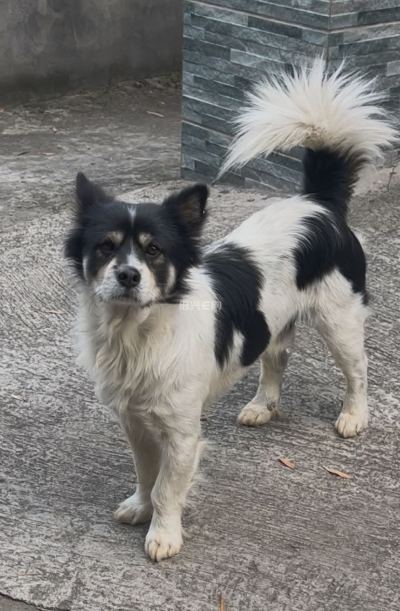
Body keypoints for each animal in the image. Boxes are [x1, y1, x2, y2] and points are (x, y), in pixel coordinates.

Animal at [64, 60, 396, 561]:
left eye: (154, 250)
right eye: (105, 247)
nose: (128, 276)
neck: (138, 331)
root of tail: (317, 204)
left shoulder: (181, 430)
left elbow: (167, 486)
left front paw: (164, 533)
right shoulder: (134, 420)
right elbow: (145, 473)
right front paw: (140, 506)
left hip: (339, 320)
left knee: (357, 369)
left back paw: (354, 415)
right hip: (274, 323)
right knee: (276, 358)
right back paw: (262, 406)